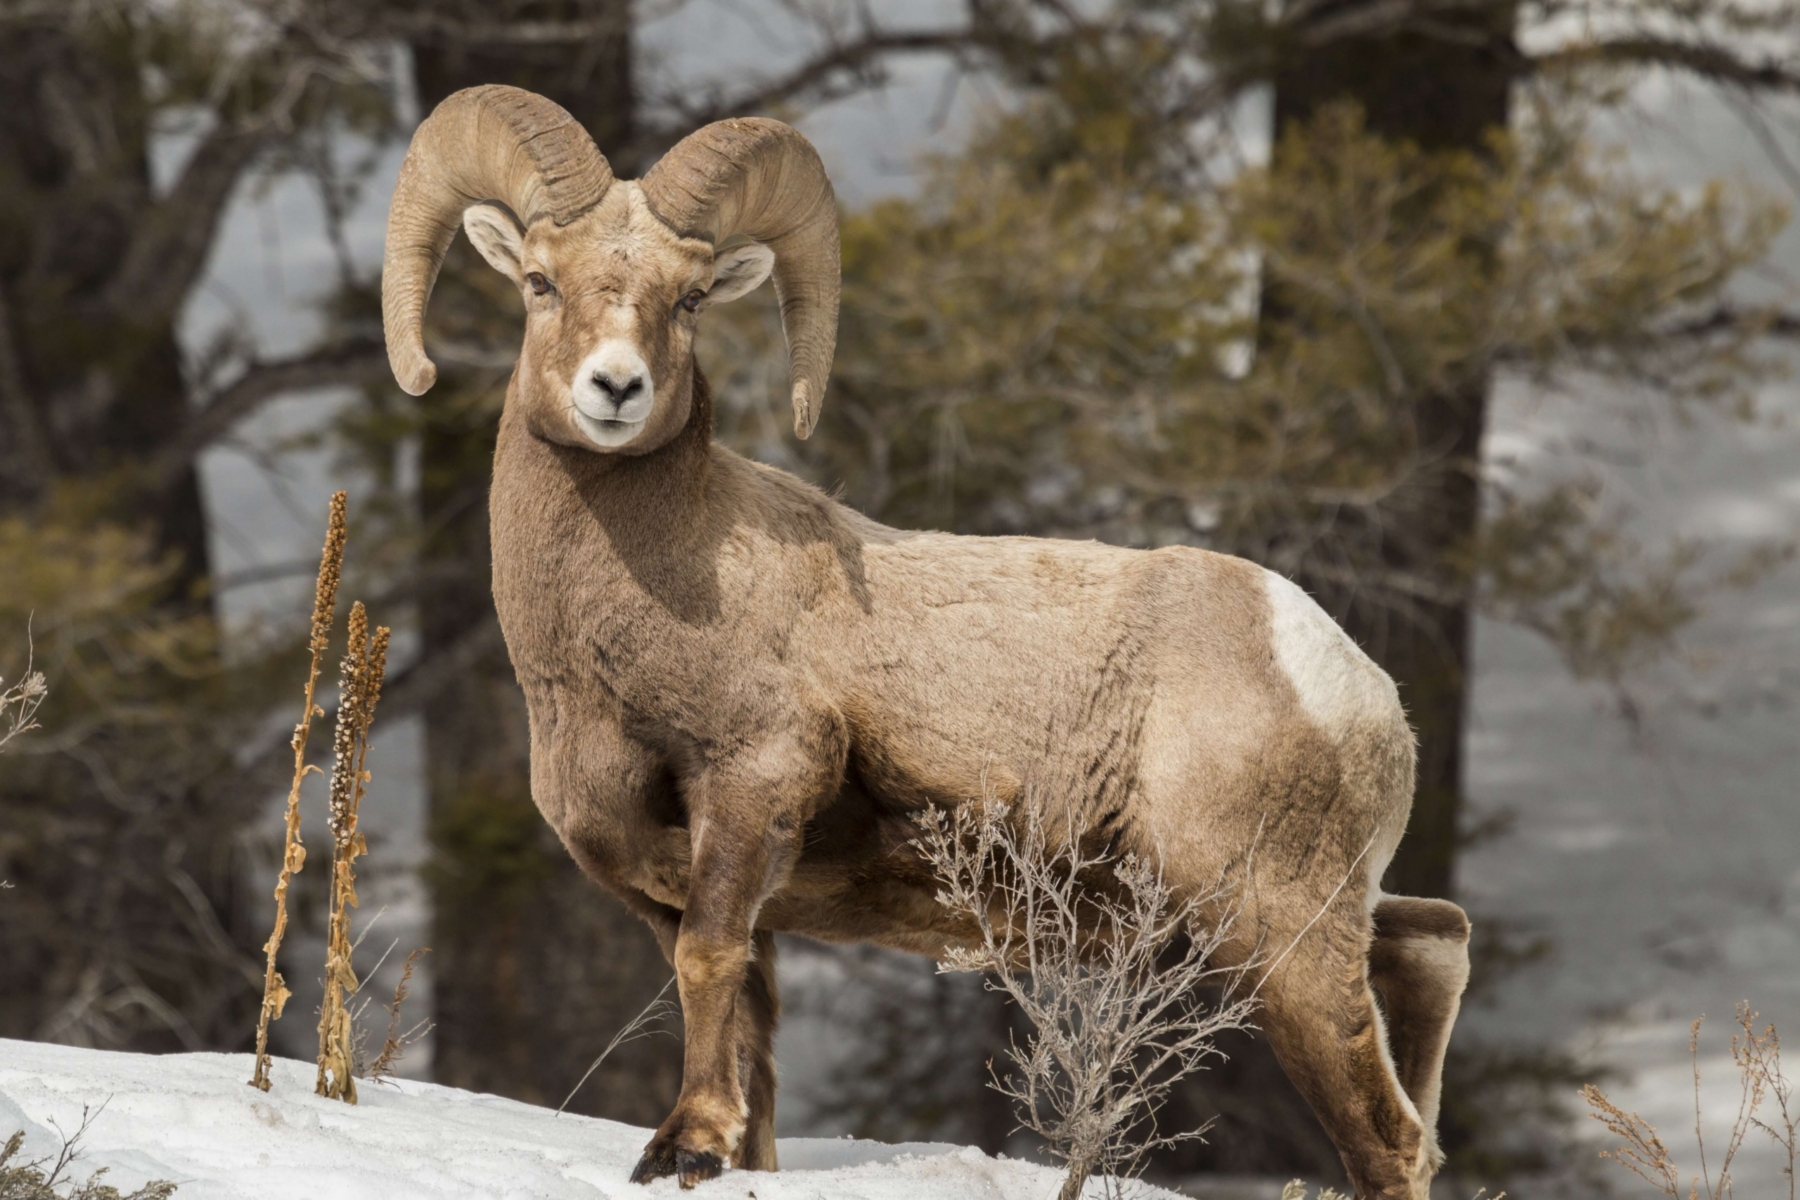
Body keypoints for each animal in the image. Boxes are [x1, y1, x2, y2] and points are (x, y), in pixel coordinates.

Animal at [381, 85, 1472, 1199]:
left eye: (689, 299)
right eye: (540, 281)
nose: (614, 388)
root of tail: (1356, 689)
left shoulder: (752, 790)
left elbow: (708, 966)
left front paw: (685, 1144)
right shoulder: (662, 876)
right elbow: (750, 1028)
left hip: (1273, 932)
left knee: (1386, 1136)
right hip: (1300, 918)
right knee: (1432, 943)